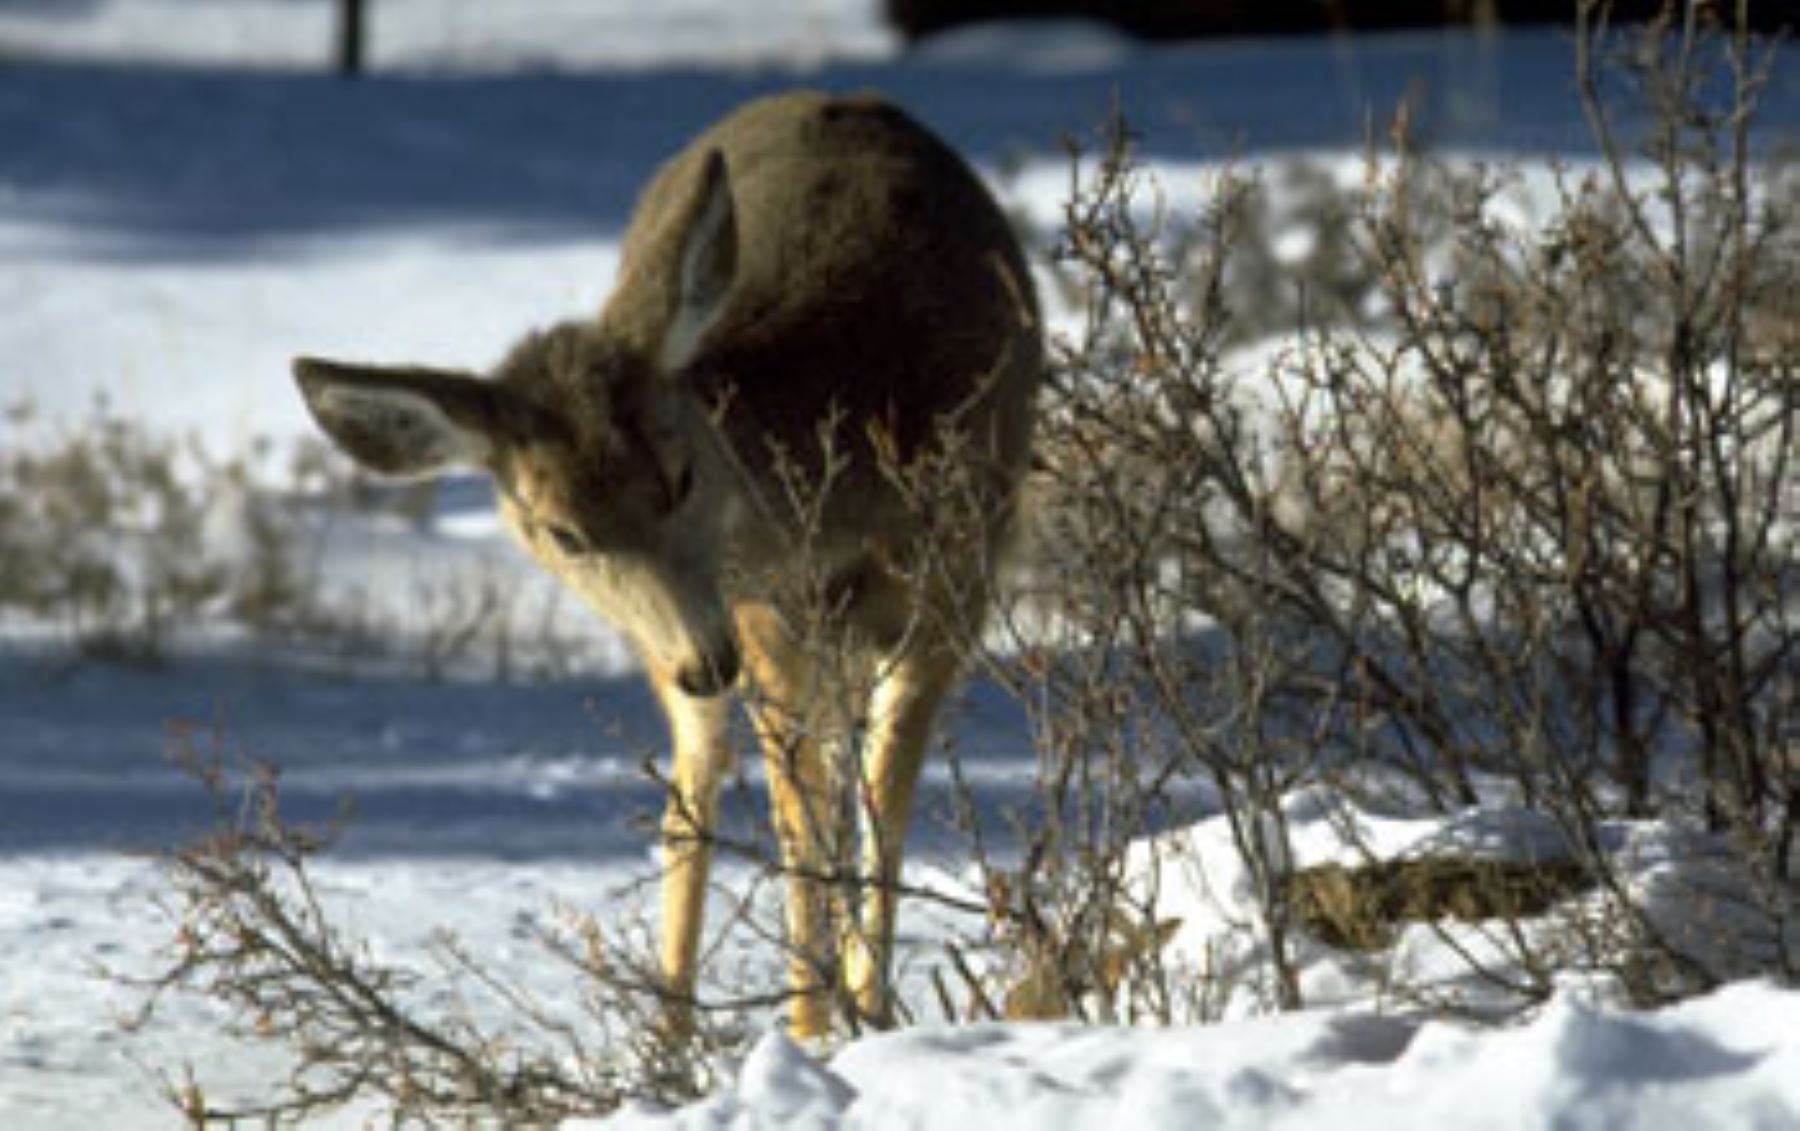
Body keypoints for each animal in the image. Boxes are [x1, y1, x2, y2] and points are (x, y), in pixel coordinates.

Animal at [293, 92, 1044, 1037]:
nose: (705, 658)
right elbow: (802, 826)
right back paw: (671, 1039)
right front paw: (811, 1031)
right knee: (695, 796)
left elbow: (879, 821)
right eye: (563, 532)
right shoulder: (763, 624)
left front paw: (859, 1024)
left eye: (681, 474)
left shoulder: (953, 585)